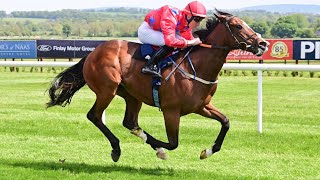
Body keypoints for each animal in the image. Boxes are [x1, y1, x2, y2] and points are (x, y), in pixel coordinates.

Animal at [46, 9, 268, 162]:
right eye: (238, 26)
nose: (263, 43)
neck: (197, 66)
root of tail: (93, 52)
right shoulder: (171, 110)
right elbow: (172, 144)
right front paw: (160, 150)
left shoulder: (201, 106)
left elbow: (226, 122)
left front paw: (207, 151)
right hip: (107, 89)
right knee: (94, 116)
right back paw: (117, 148)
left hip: (131, 95)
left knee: (129, 121)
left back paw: (135, 134)